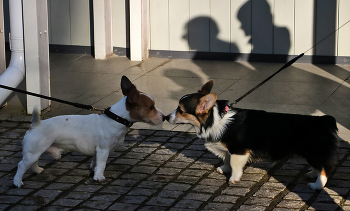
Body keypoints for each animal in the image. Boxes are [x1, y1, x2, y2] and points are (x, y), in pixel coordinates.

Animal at [14, 76, 165, 188]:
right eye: (151, 107)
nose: (164, 117)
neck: (115, 119)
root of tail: (36, 125)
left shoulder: (97, 151)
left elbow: (95, 162)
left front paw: (93, 171)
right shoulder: (103, 150)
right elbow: (102, 164)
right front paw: (99, 177)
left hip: (35, 152)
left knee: (33, 163)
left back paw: (37, 170)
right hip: (33, 152)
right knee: (21, 165)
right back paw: (17, 182)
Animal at [167, 80, 340, 190]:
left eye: (180, 110)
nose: (166, 117)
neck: (215, 120)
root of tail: (325, 120)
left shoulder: (239, 151)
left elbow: (235, 165)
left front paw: (233, 179)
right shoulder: (228, 151)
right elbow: (226, 160)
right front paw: (224, 169)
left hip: (314, 153)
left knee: (326, 169)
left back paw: (317, 185)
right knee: (320, 167)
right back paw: (312, 175)